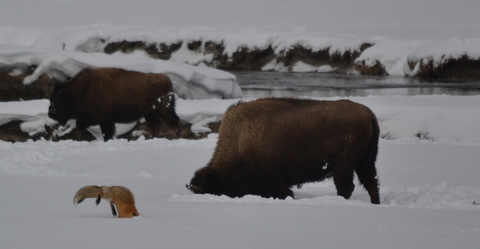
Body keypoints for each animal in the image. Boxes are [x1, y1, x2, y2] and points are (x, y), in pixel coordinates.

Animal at [48, 68, 180, 141]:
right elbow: (79, 126)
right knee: (157, 126)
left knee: (173, 122)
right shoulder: (89, 119)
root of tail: (166, 79)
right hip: (150, 114)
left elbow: (107, 134)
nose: (50, 114)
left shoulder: (104, 121)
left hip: (163, 110)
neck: (84, 90)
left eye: (57, 101)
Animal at [186, 97, 380, 204]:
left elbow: (283, 193)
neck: (240, 140)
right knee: (371, 182)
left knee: (346, 187)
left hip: (343, 166)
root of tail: (369, 113)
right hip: (365, 162)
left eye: (211, 190)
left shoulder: (271, 175)